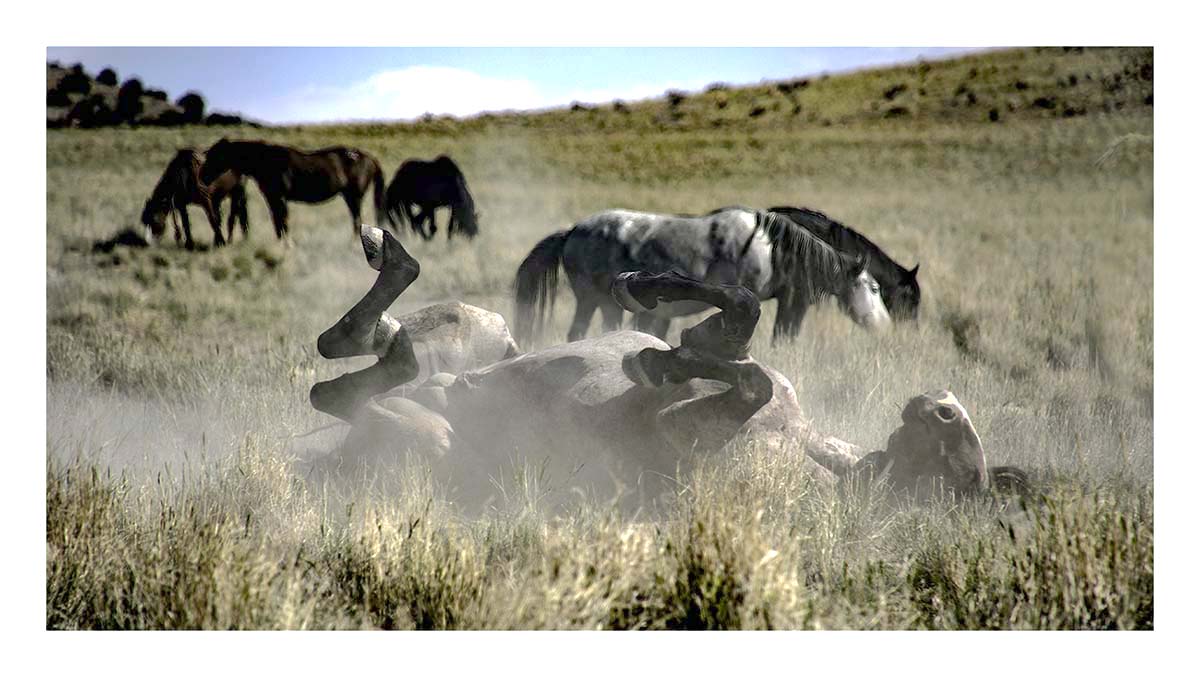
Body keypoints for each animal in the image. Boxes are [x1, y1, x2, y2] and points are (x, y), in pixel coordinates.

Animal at [199, 138, 392, 240]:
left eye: (216, 156)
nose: (202, 177)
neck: (266, 160)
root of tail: (370, 158)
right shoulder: (272, 199)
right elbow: (277, 224)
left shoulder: (280, 198)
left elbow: (283, 223)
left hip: (354, 196)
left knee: (357, 220)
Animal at [512, 207, 890, 345]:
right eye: (873, 287)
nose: (885, 326)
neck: (770, 249)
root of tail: (572, 231)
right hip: (599, 301)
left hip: (596, 304)